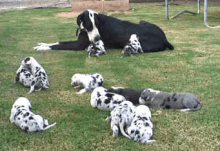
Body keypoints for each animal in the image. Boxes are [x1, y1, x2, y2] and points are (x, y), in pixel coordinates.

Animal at [34, 9, 174, 52]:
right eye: (89, 25)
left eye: (97, 24)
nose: (97, 39)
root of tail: (165, 39)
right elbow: (59, 42)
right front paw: (41, 44)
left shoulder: (78, 45)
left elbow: (57, 45)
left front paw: (41, 48)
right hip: (142, 21)